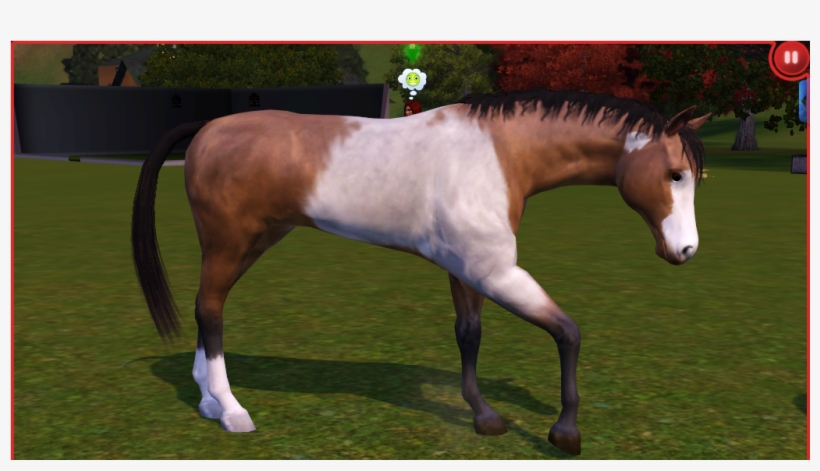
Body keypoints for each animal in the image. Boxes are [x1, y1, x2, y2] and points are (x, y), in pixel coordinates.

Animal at [132, 88, 710, 456]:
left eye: (693, 177)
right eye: (673, 174)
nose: (685, 250)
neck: (499, 155)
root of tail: (209, 126)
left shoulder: (467, 270)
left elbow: (469, 335)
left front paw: (484, 417)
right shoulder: (495, 270)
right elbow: (567, 332)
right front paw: (565, 433)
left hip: (251, 242)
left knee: (209, 310)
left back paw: (207, 400)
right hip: (230, 243)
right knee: (210, 310)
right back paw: (232, 412)